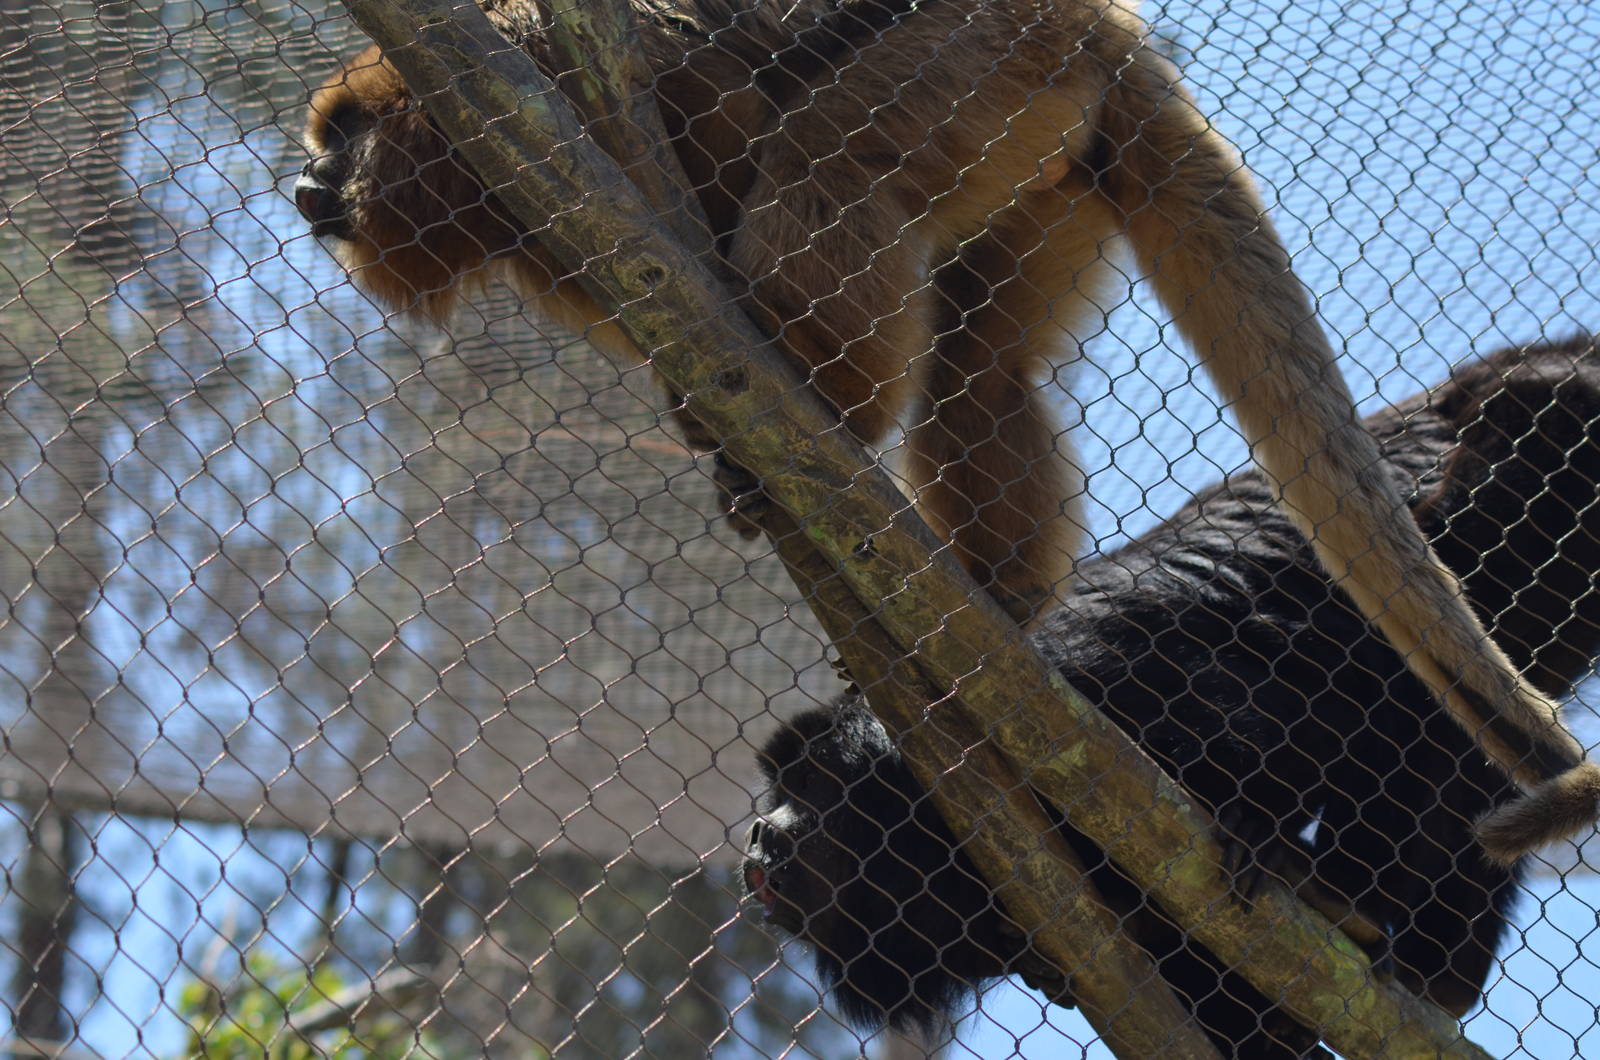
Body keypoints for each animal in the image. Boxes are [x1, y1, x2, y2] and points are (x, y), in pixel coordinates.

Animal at [292, 0, 1600, 857]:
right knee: (980, 356)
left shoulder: (542, 79)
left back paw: (826, 412)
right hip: (1052, 143)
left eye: (338, 139)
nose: (303, 186)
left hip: (987, 55)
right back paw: (993, 603)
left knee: (828, 162)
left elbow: (721, 128)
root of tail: (1109, 29)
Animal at [743, 336, 1600, 1057]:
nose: (759, 833)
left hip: (1546, 444)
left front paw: (1258, 826)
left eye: (806, 786)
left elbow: (1224, 697)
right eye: (778, 791)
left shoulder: (1060, 681)